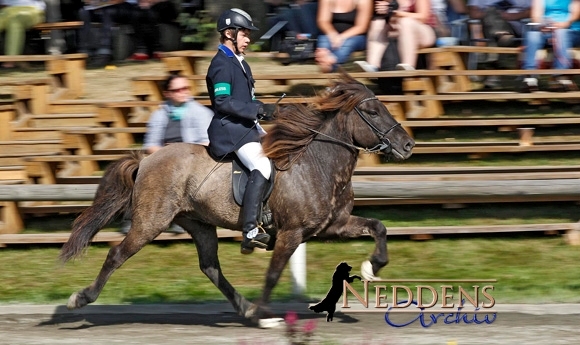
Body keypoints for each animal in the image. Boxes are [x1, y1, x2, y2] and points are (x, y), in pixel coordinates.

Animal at [59, 74, 414, 324]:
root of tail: (146, 159)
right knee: (117, 255)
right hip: (151, 221)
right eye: (372, 111)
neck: (317, 162)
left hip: (198, 223)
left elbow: (378, 226)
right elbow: (273, 273)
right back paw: (81, 298)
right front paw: (262, 313)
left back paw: (241, 305)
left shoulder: (333, 225)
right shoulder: (291, 233)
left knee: (210, 267)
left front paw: (372, 267)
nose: (408, 145)